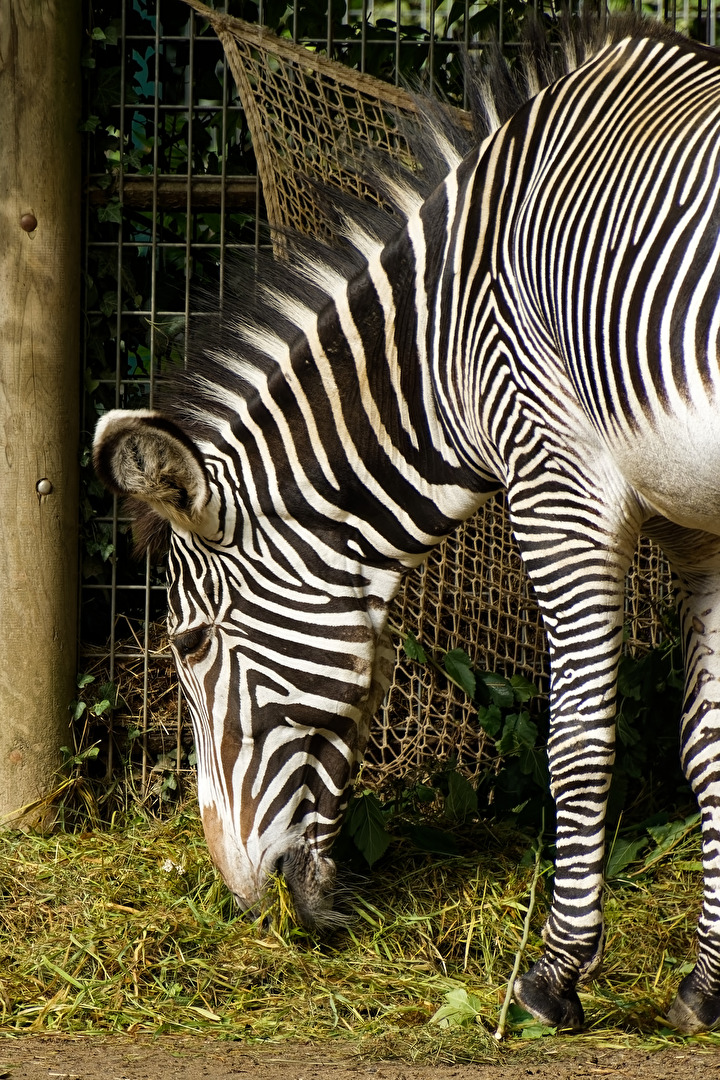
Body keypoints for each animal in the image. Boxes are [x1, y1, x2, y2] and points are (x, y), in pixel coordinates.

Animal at [93, 16, 720, 1034]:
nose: (237, 892)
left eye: (188, 644)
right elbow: (706, 743)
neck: (443, 339)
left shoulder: (559, 481)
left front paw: (555, 977)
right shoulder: (696, 526)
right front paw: (706, 985)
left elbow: (579, 738)